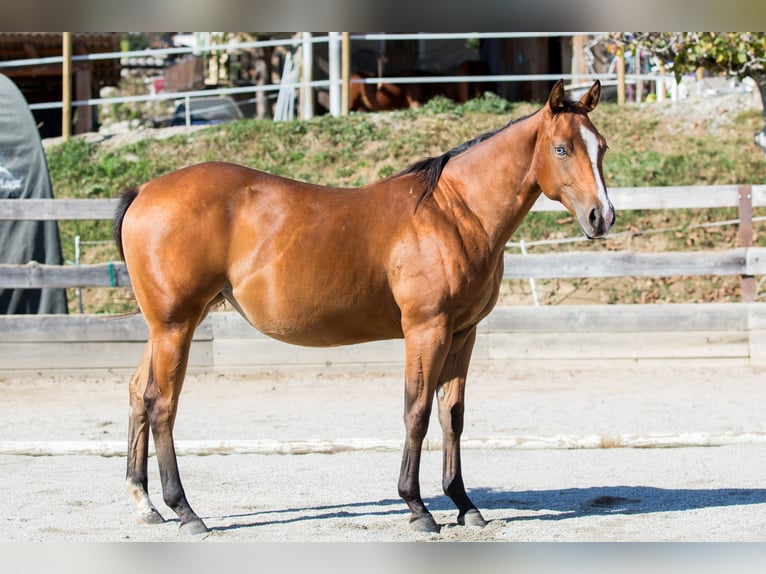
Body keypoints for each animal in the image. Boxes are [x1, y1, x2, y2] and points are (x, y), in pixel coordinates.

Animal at [113, 80, 613, 535]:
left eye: (601, 147)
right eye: (562, 148)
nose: (602, 216)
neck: (454, 213)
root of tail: (144, 191)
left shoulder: (462, 333)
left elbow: (452, 415)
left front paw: (465, 504)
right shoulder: (426, 330)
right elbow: (417, 412)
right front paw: (417, 508)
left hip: (165, 328)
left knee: (138, 394)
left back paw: (144, 503)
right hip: (176, 326)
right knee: (162, 405)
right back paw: (185, 512)